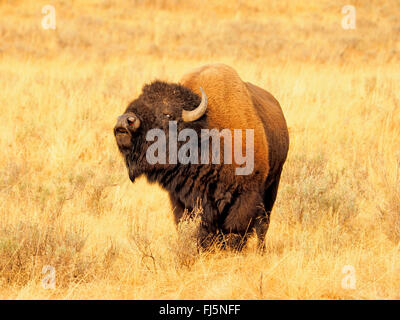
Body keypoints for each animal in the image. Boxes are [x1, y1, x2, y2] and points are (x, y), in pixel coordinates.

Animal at [114, 63, 290, 251]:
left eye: (167, 114)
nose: (125, 121)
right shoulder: (181, 199)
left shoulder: (246, 194)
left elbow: (236, 229)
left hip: (273, 185)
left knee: (263, 224)